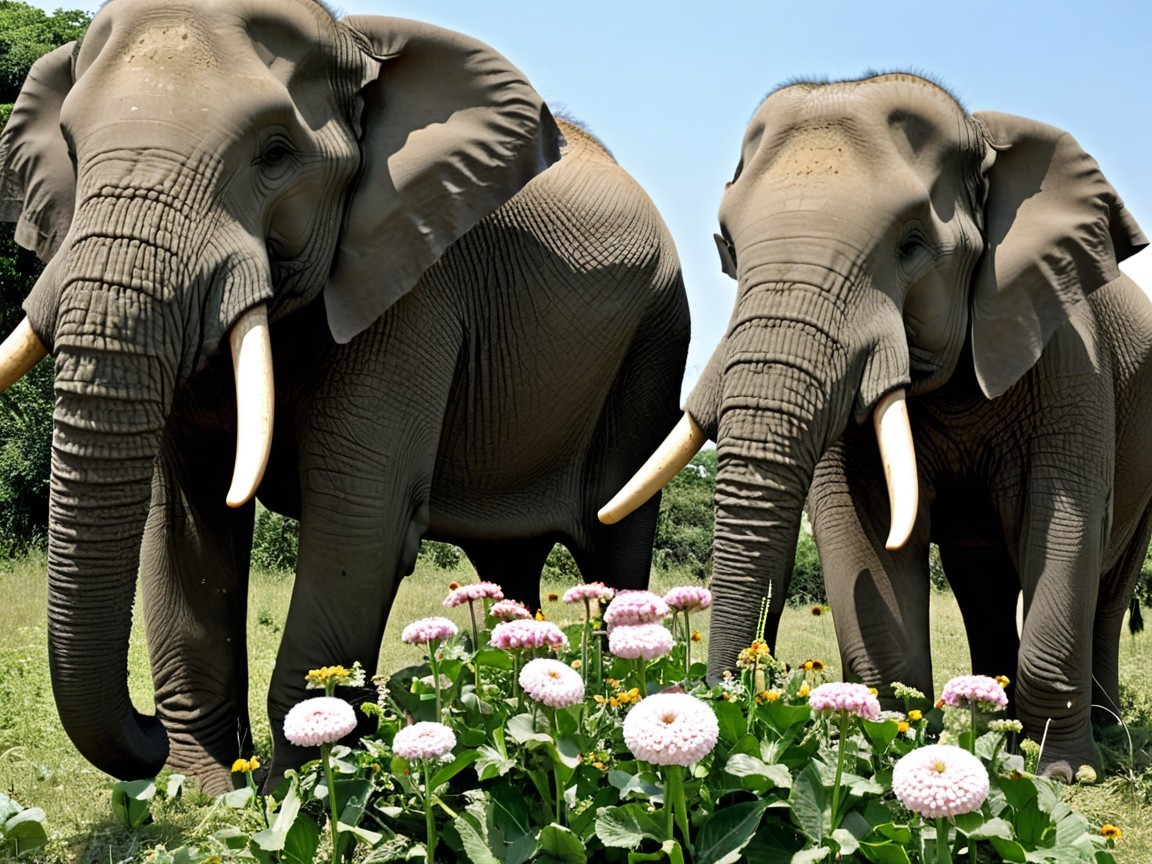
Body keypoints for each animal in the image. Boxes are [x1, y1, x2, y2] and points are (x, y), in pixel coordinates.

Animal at [0, 0, 689, 793]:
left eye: (275, 155)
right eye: (72, 148)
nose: (144, 727)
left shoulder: (414, 286)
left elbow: (359, 519)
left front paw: (300, 789)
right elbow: (185, 520)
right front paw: (206, 789)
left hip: (654, 343)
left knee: (613, 538)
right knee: (508, 559)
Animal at [602, 72, 1151, 779]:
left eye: (912, 245)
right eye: (728, 248)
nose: (724, 704)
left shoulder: (1066, 353)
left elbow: (1062, 522)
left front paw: (1054, 771)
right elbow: (865, 528)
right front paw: (889, 745)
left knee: (1108, 585)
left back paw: (1102, 738)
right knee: (984, 579)